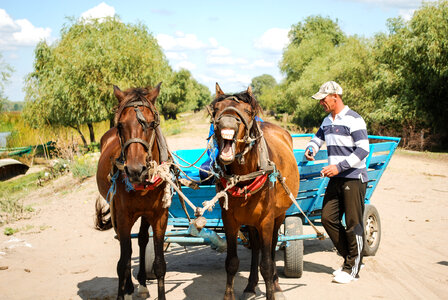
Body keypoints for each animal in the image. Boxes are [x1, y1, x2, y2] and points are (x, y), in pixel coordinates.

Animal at [95, 84, 171, 300]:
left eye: (151, 124)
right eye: (120, 126)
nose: (136, 170)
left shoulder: (159, 216)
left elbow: (159, 264)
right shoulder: (122, 216)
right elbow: (122, 262)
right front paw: (124, 290)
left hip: (144, 214)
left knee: (143, 240)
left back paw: (142, 284)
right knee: (126, 249)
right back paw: (129, 286)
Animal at [211, 83, 300, 300]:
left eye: (248, 111)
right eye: (216, 110)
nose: (226, 123)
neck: (244, 178)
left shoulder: (266, 220)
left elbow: (267, 264)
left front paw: (271, 291)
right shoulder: (230, 220)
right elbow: (232, 262)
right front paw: (230, 295)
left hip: (278, 215)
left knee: (272, 247)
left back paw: (276, 285)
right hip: (251, 221)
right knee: (256, 249)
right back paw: (251, 285)